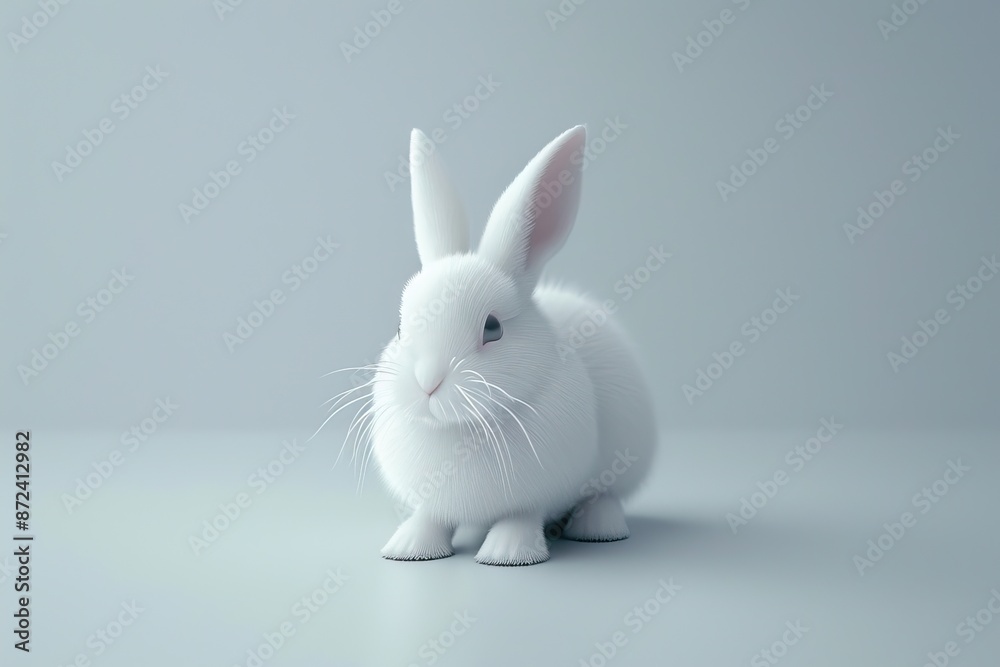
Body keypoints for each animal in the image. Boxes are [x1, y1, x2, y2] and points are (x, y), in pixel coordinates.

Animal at [367, 125, 658, 566]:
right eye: (400, 328)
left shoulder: (533, 498)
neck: (455, 429)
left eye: (493, 328)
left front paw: (507, 554)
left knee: (605, 495)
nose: (427, 382)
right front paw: (408, 548)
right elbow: (431, 517)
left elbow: (519, 518)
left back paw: (598, 528)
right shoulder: (434, 503)